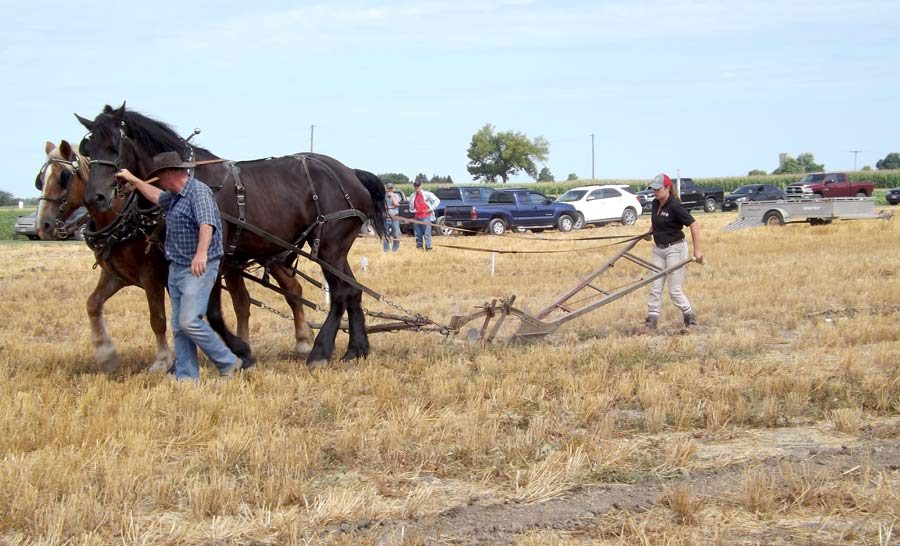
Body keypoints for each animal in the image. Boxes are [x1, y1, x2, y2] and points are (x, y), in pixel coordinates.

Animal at [36, 139, 317, 373]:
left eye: (62, 177)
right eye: (40, 179)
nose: (44, 225)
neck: (130, 219)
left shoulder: (151, 276)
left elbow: (158, 318)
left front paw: (163, 360)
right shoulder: (115, 275)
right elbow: (93, 304)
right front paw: (106, 355)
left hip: (272, 254)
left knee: (292, 290)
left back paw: (303, 342)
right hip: (239, 263)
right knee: (244, 302)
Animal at [75, 104, 386, 367]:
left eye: (114, 146)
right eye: (88, 149)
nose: (96, 198)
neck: (190, 179)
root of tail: (351, 174)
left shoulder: (212, 256)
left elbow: (210, 312)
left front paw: (241, 351)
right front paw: (238, 351)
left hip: (329, 246)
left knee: (341, 292)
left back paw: (320, 352)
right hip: (335, 249)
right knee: (353, 290)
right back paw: (356, 349)